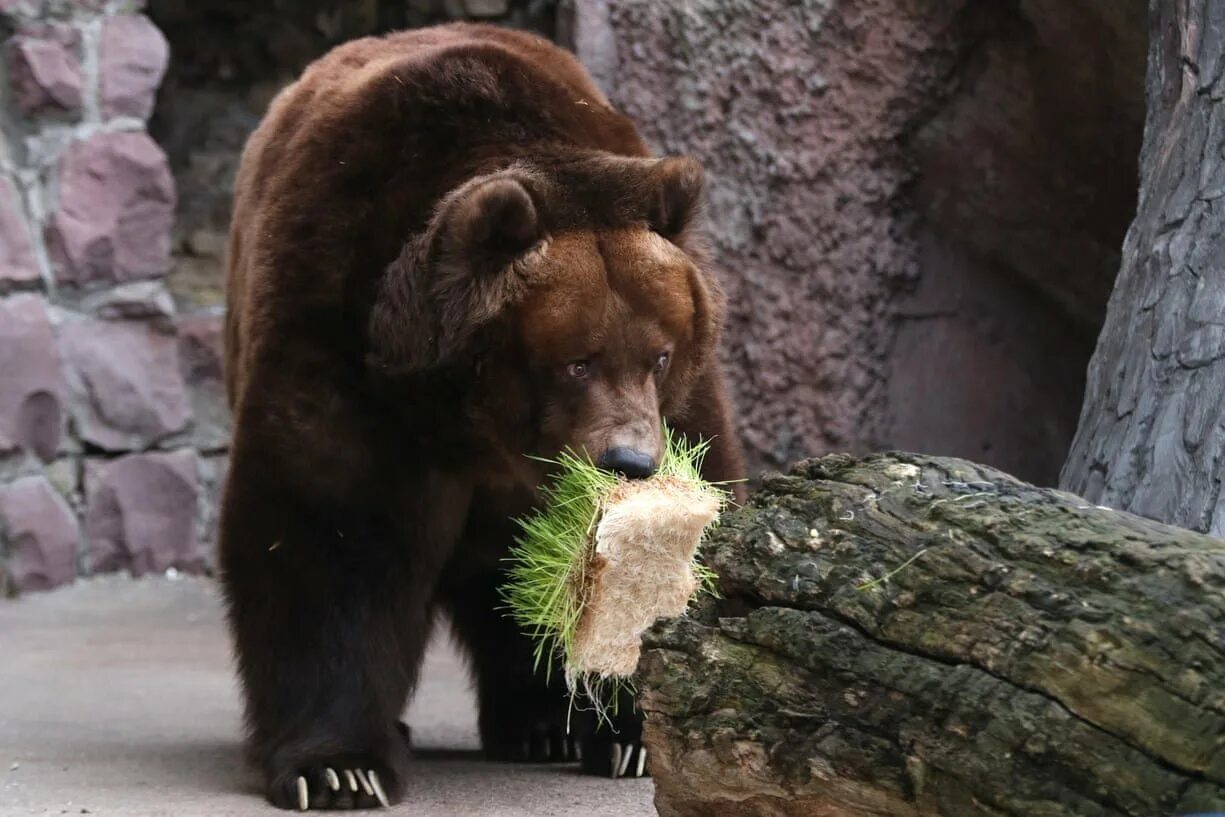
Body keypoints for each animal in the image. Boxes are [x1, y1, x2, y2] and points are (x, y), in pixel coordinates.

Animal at [220, 22, 744, 808]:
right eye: (577, 360)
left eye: (658, 353)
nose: (628, 460)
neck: (476, 422)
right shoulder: (341, 330)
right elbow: (329, 534)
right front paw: (338, 767)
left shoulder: (683, 402)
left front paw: (632, 737)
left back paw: (541, 726)